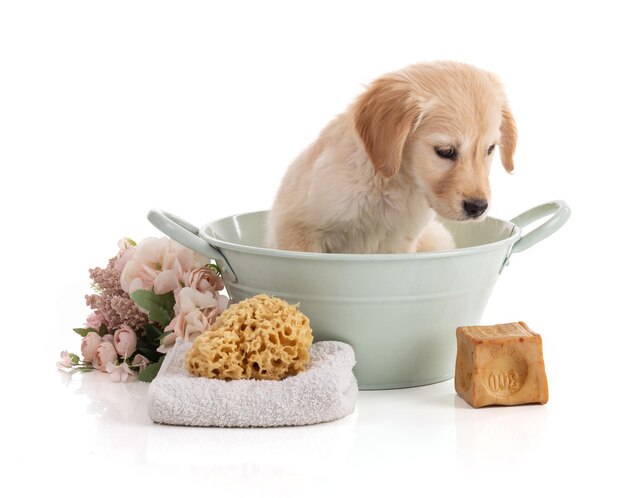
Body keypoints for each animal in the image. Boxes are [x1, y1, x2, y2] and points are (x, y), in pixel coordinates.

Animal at [266, 61, 516, 253]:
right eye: (445, 151)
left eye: (490, 149)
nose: (478, 208)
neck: (393, 185)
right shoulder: (299, 229)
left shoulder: (400, 243)